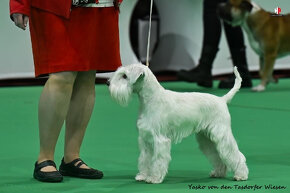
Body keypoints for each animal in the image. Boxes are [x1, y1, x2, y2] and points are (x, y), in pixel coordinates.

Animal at [107, 63, 248, 184]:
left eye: (124, 76)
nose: (108, 83)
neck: (152, 98)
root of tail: (222, 99)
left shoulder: (160, 139)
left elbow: (157, 160)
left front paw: (154, 178)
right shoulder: (145, 138)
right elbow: (144, 159)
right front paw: (142, 175)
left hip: (221, 135)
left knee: (234, 154)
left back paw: (241, 175)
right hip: (207, 139)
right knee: (218, 156)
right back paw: (218, 173)